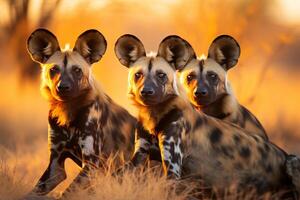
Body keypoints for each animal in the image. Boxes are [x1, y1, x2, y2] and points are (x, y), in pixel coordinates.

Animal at [26, 28, 136, 196]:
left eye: (77, 70)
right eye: (53, 69)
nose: (63, 87)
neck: (67, 112)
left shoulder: (92, 166)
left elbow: (67, 194)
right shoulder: (56, 166)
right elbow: (34, 191)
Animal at [115, 34, 296, 194]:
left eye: (161, 75)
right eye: (138, 75)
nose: (146, 92)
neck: (154, 115)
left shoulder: (173, 169)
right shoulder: (140, 154)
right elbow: (118, 173)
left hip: (292, 161)